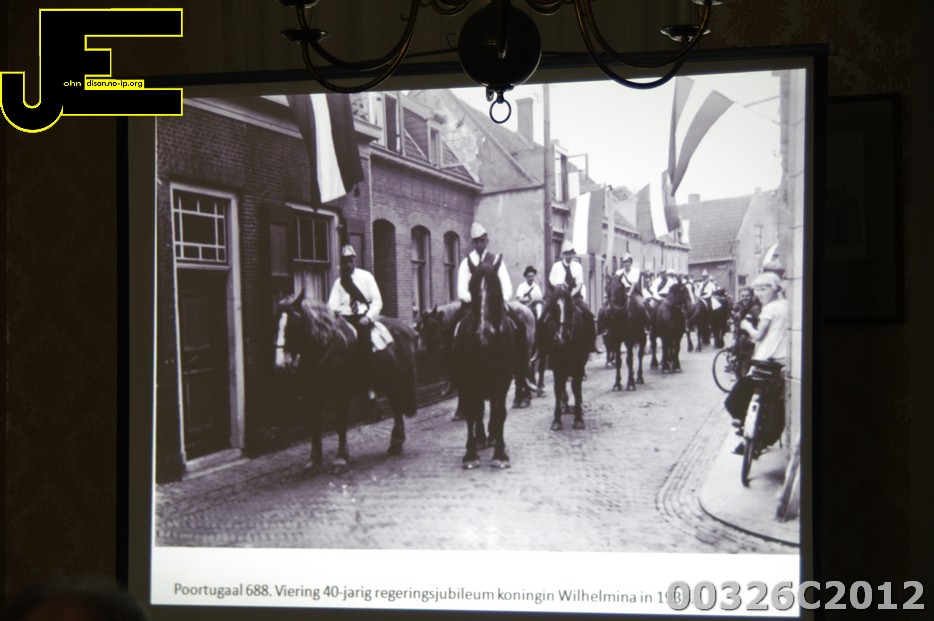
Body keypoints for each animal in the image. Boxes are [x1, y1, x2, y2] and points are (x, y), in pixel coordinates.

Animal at [274, 294, 418, 475]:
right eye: (275, 323)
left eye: (293, 323)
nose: (280, 364)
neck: (326, 346)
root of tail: (408, 329)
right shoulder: (313, 395)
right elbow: (315, 425)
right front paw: (314, 461)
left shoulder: (341, 393)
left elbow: (341, 423)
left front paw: (341, 459)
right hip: (388, 380)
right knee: (396, 407)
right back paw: (395, 444)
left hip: (396, 380)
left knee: (397, 407)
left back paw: (396, 444)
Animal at [450, 257, 518, 469]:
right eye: (472, 290)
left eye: (496, 290)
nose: (483, 334)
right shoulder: (468, 380)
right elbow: (472, 413)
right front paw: (471, 455)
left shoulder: (503, 379)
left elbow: (500, 412)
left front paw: (500, 454)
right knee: (479, 409)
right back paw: (480, 439)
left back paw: (493, 437)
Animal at [537, 284, 590, 430]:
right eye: (553, 306)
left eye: (570, 305)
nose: (561, 337)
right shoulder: (556, 365)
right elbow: (558, 388)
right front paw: (557, 419)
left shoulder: (578, 363)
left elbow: (576, 387)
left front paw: (578, 418)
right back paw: (564, 405)